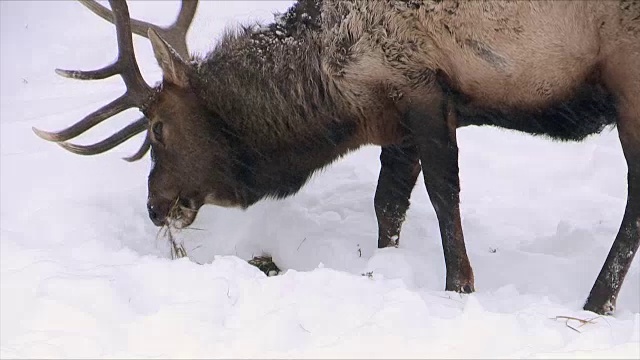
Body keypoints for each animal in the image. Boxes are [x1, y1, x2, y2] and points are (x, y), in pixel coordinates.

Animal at [35, 0, 640, 316]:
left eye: (159, 127)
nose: (155, 207)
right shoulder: (399, 117)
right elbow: (388, 204)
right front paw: (384, 270)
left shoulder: (423, 89)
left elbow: (444, 196)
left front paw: (459, 288)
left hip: (628, 72)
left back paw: (596, 303)